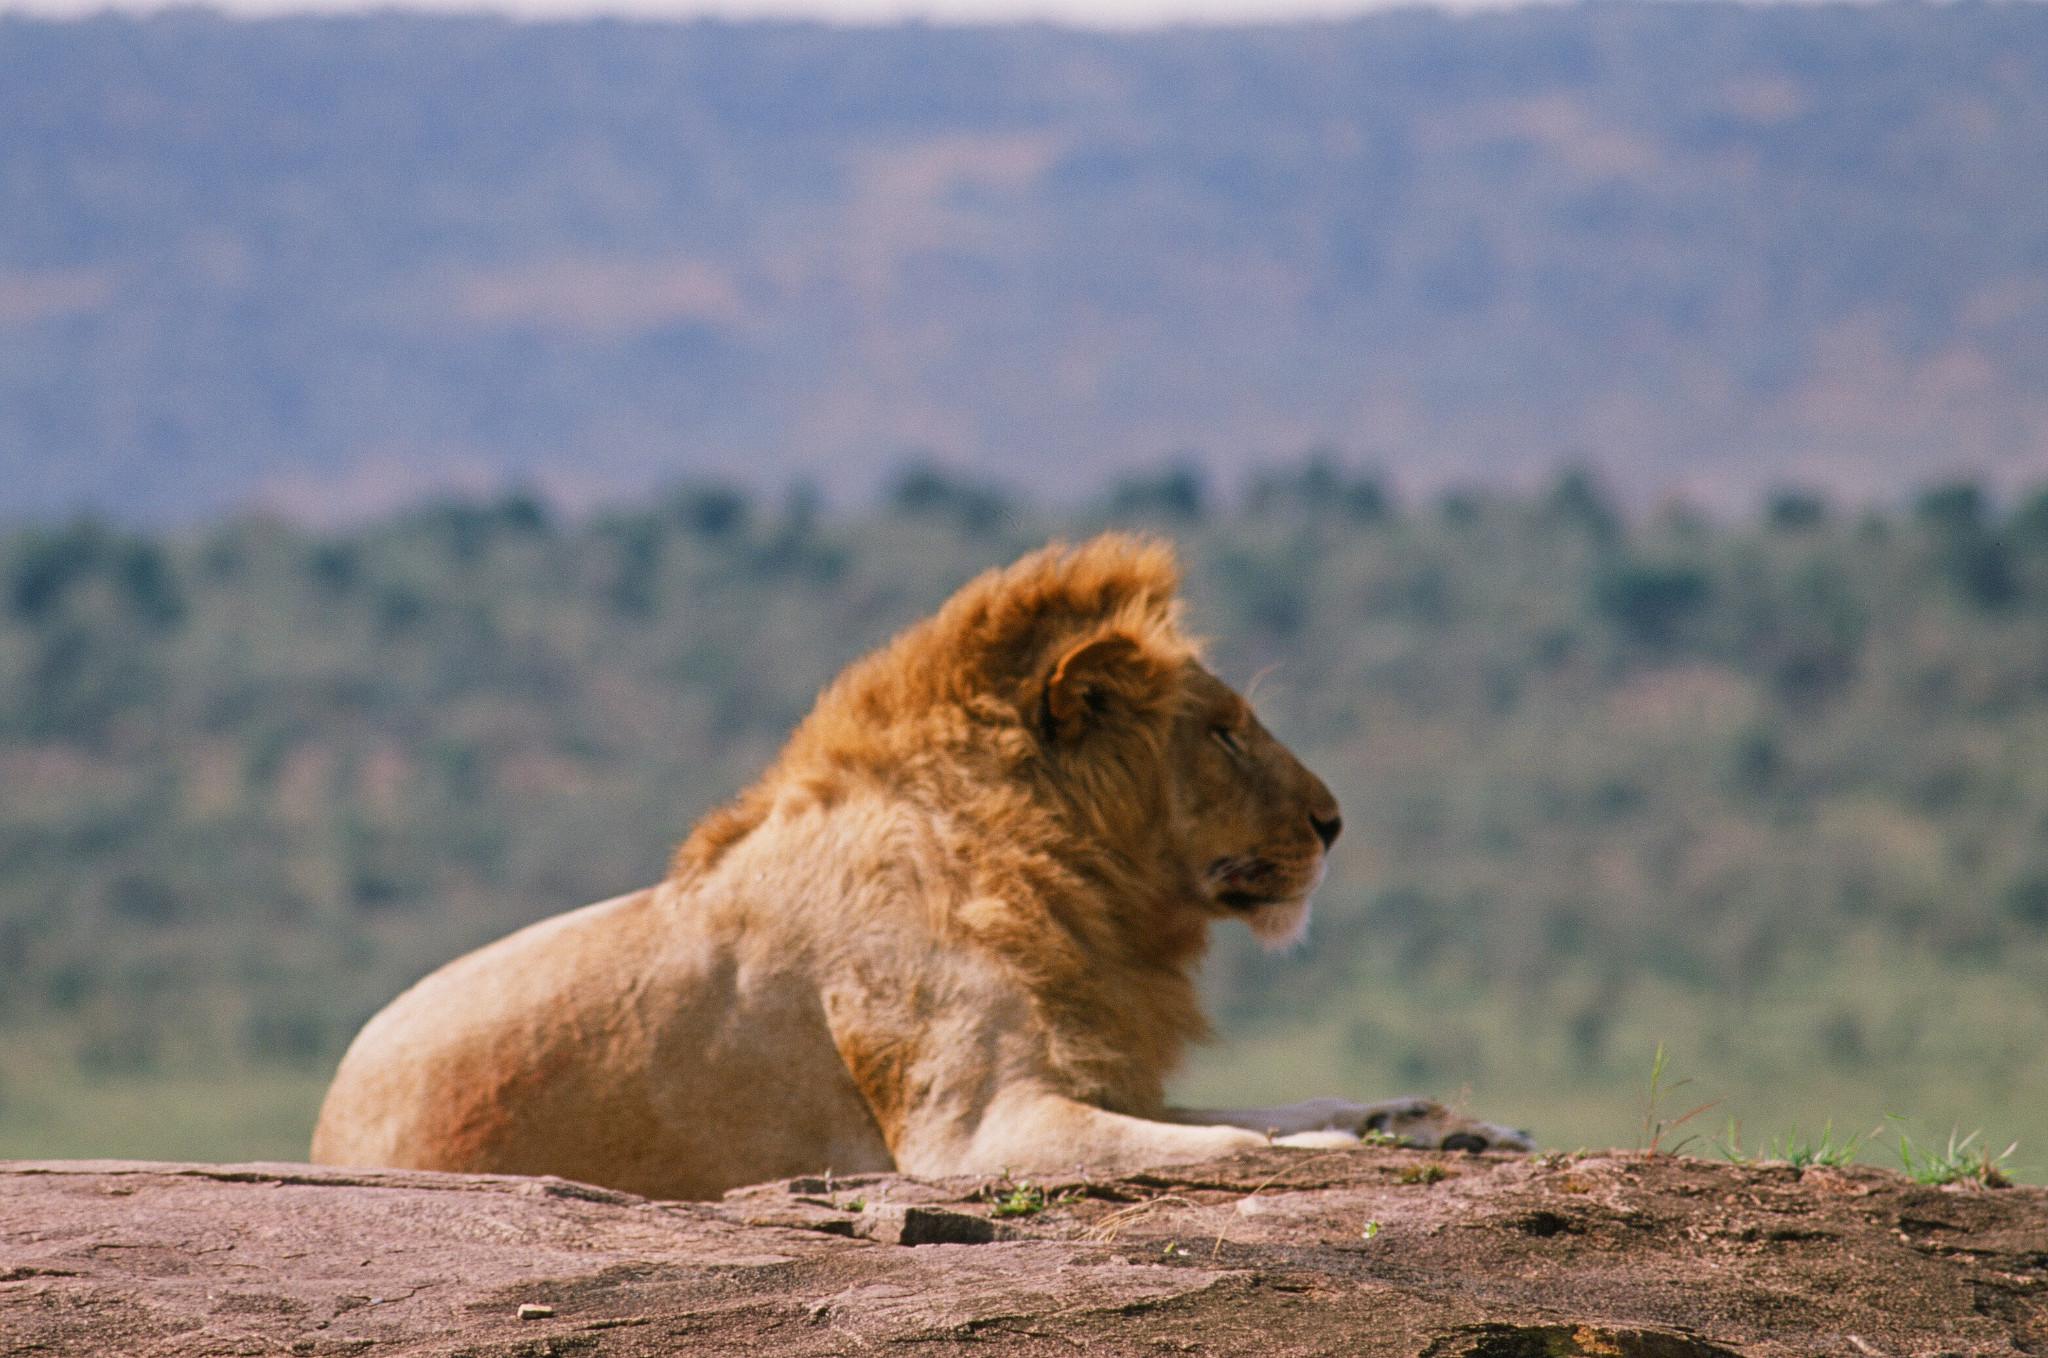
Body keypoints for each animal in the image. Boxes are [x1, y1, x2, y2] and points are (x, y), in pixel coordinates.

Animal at [311, 532, 1531, 1204]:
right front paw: (1370, 1149)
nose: (1333, 823)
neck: (1071, 884)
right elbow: (1236, 1144)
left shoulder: (1091, 1075)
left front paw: (1451, 1123)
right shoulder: (976, 1132)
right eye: (1225, 734)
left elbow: (1281, 1106)